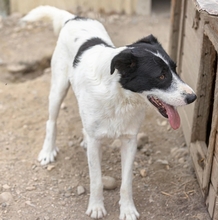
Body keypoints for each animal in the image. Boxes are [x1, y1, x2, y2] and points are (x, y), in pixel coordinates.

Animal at [22, 6, 198, 220]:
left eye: (175, 69)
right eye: (161, 76)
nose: (193, 97)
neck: (119, 97)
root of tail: (75, 18)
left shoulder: (130, 140)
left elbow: (126, 182)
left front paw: (127, 209)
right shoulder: (96, 143)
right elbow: (96, 180)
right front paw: (96, 207)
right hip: (58, 88)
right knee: (51, 121)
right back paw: (48, 151)